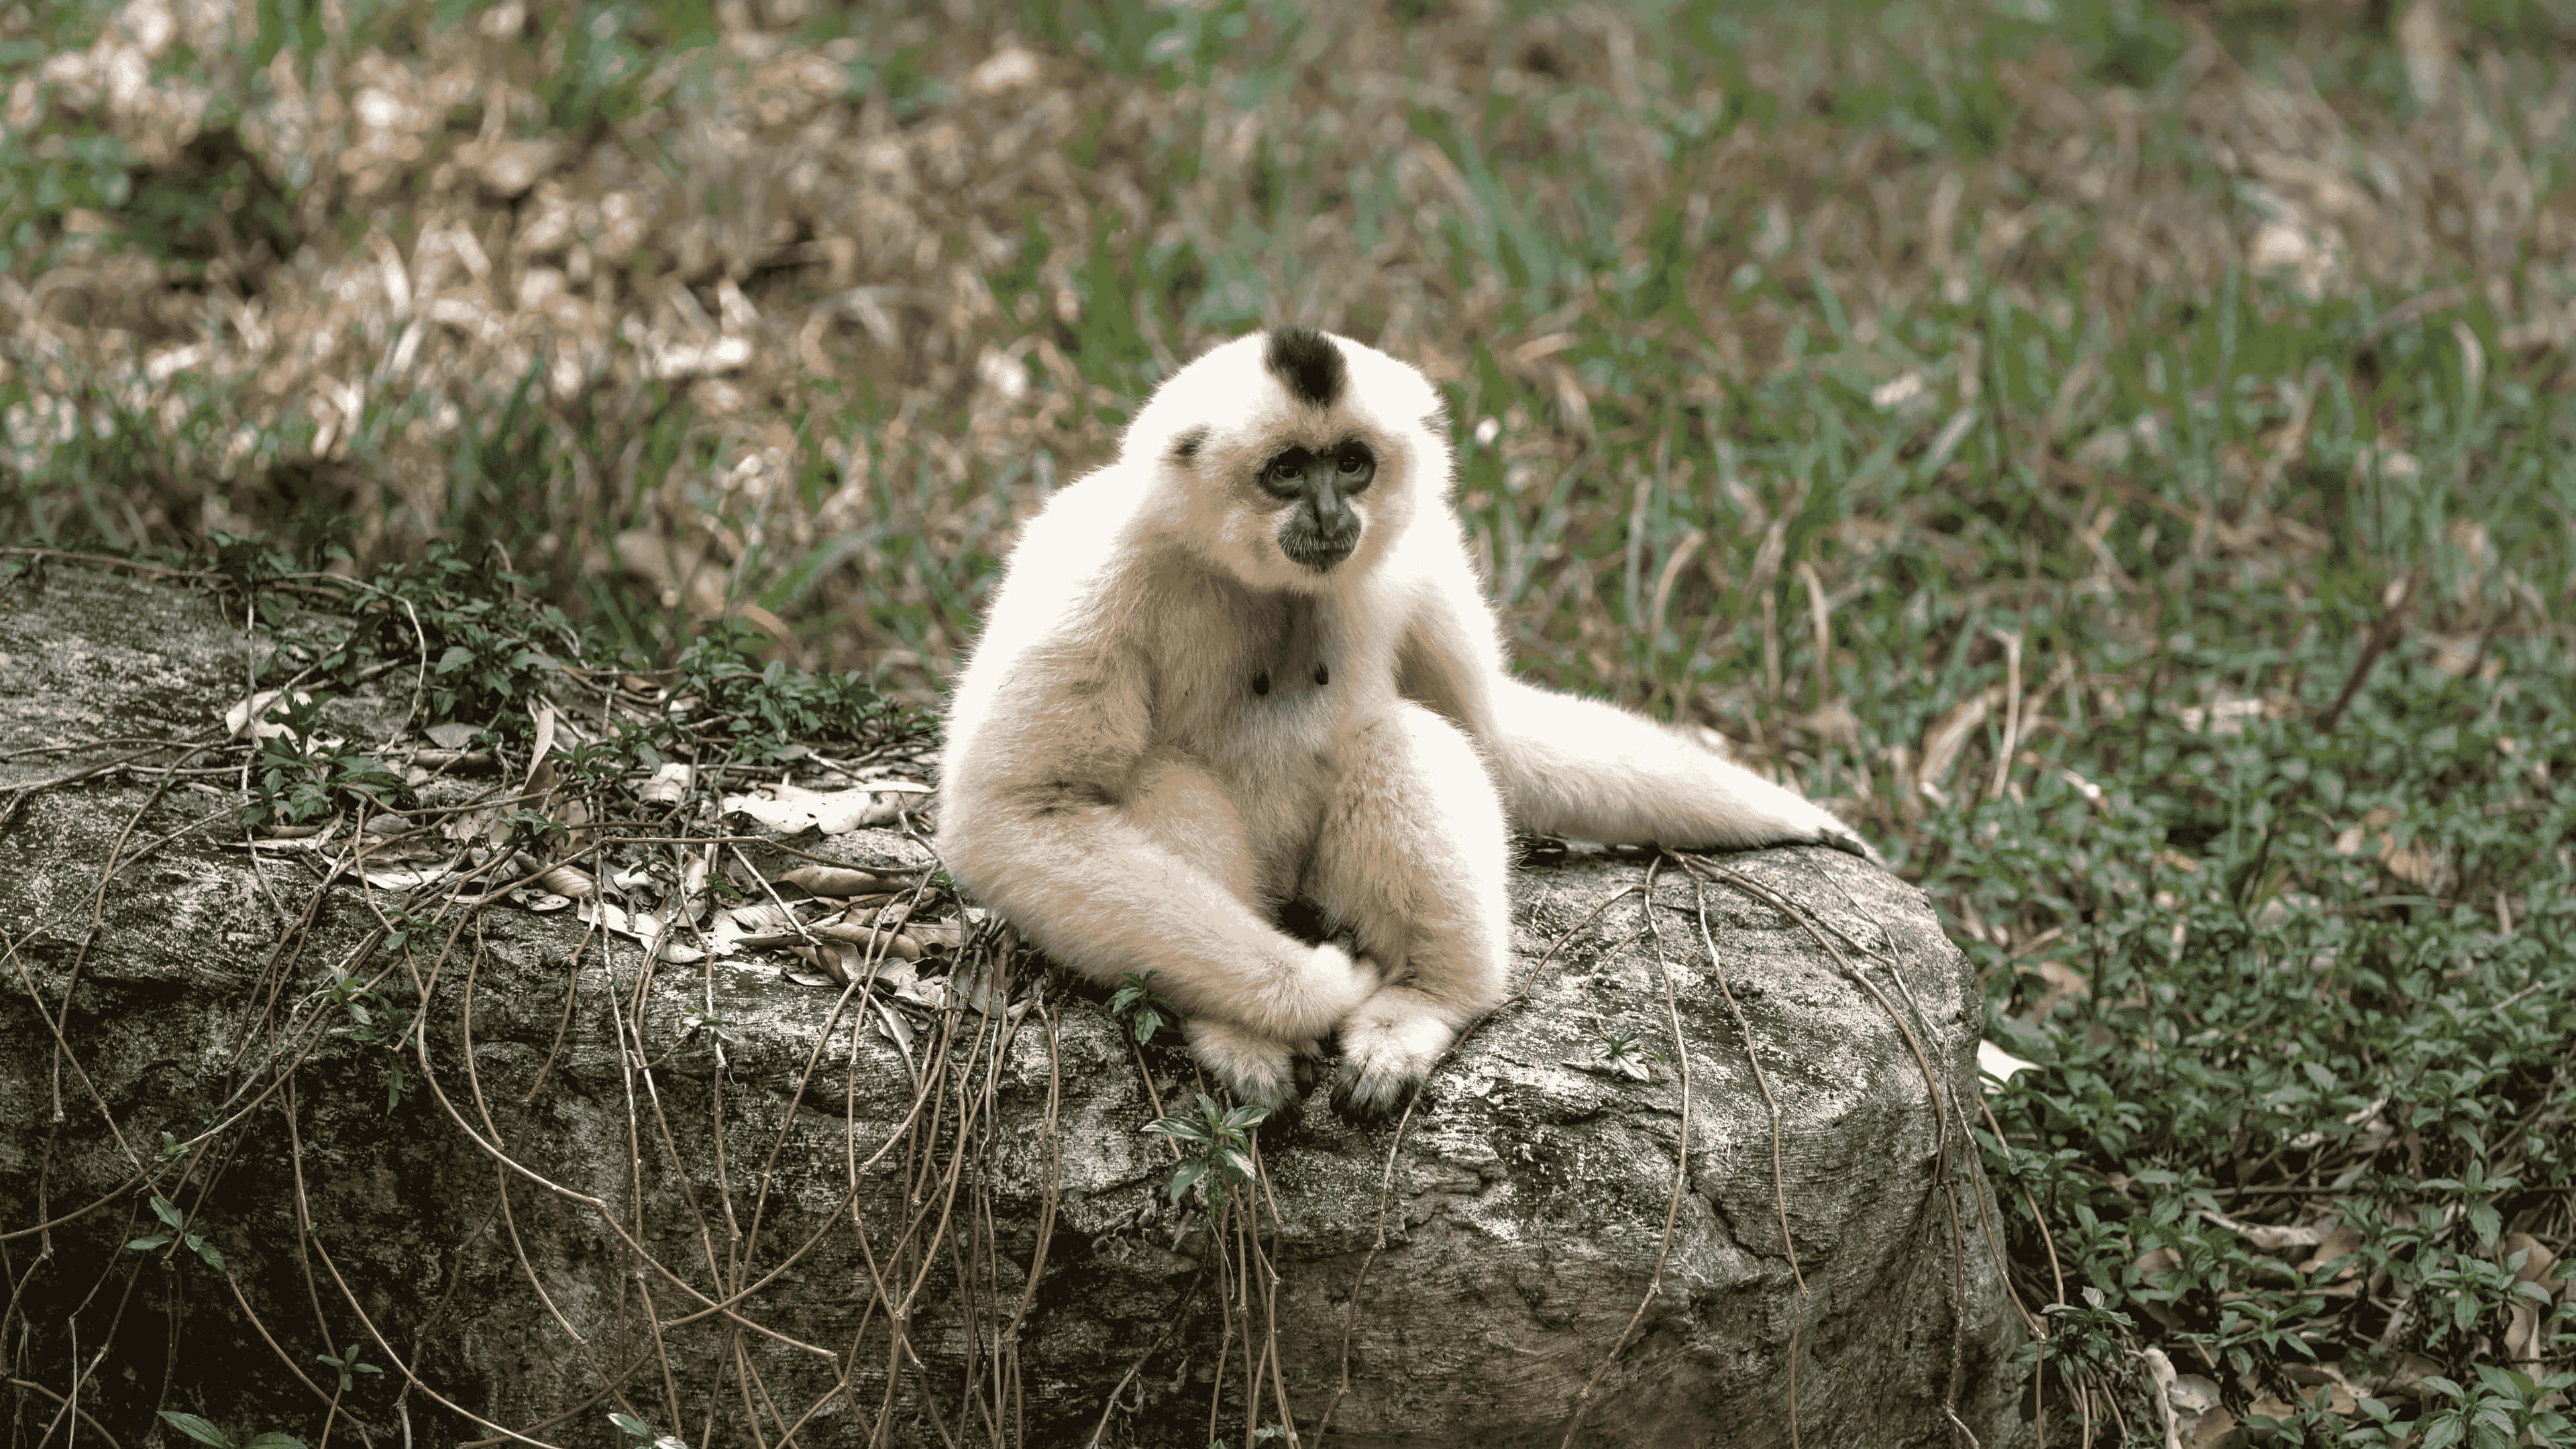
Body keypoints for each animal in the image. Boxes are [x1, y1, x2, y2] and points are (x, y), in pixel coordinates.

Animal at [936, 327, 1869, 1121]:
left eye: (1352, 463)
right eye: (1286, 470)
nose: (1327, 511)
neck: (1264, 583)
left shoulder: (1429, 550)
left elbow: (1497, 743)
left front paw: (1796, 815)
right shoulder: (1092, 563)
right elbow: (1019, 814)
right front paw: (1311, 992)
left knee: (1406, 738)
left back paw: (1422, 1004)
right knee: (1158, 777)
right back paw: (1241, 1029)